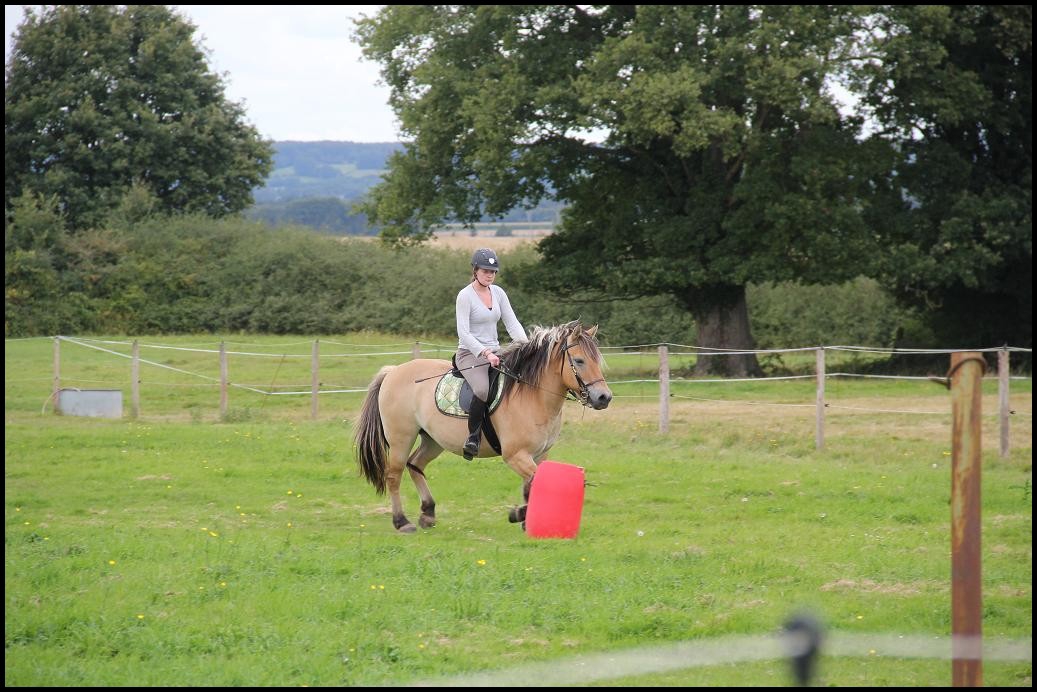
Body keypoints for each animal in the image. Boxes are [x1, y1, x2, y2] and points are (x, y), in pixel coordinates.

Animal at [353, 321, 612, 533]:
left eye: (597, 360)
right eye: (579, 361)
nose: (604, 398)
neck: (532, 395)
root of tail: (393, 372)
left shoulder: (539, 455)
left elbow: (532, 487)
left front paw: (525, 518)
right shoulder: (516, 455)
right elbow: (536, 484)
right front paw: (518, 514)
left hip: (433, 440)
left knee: (415, 464)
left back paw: (428, 513)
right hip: (401, 438)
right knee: (394, 475)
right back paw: (402, 522)